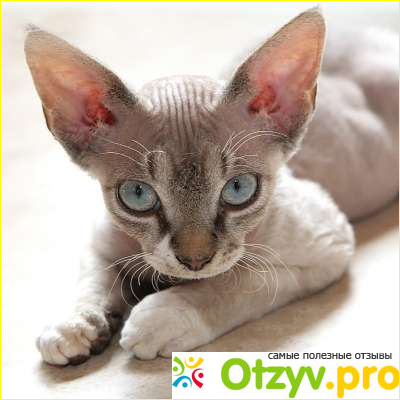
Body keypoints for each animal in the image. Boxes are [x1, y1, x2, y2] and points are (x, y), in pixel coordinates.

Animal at [25, 8, 398, 366]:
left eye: (238, 189)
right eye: (138, 195)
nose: (195, 260)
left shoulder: (327, 244)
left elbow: (236, 280)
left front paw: (164, 314)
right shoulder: (100, 241)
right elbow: (92, 277)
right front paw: (73, 324)